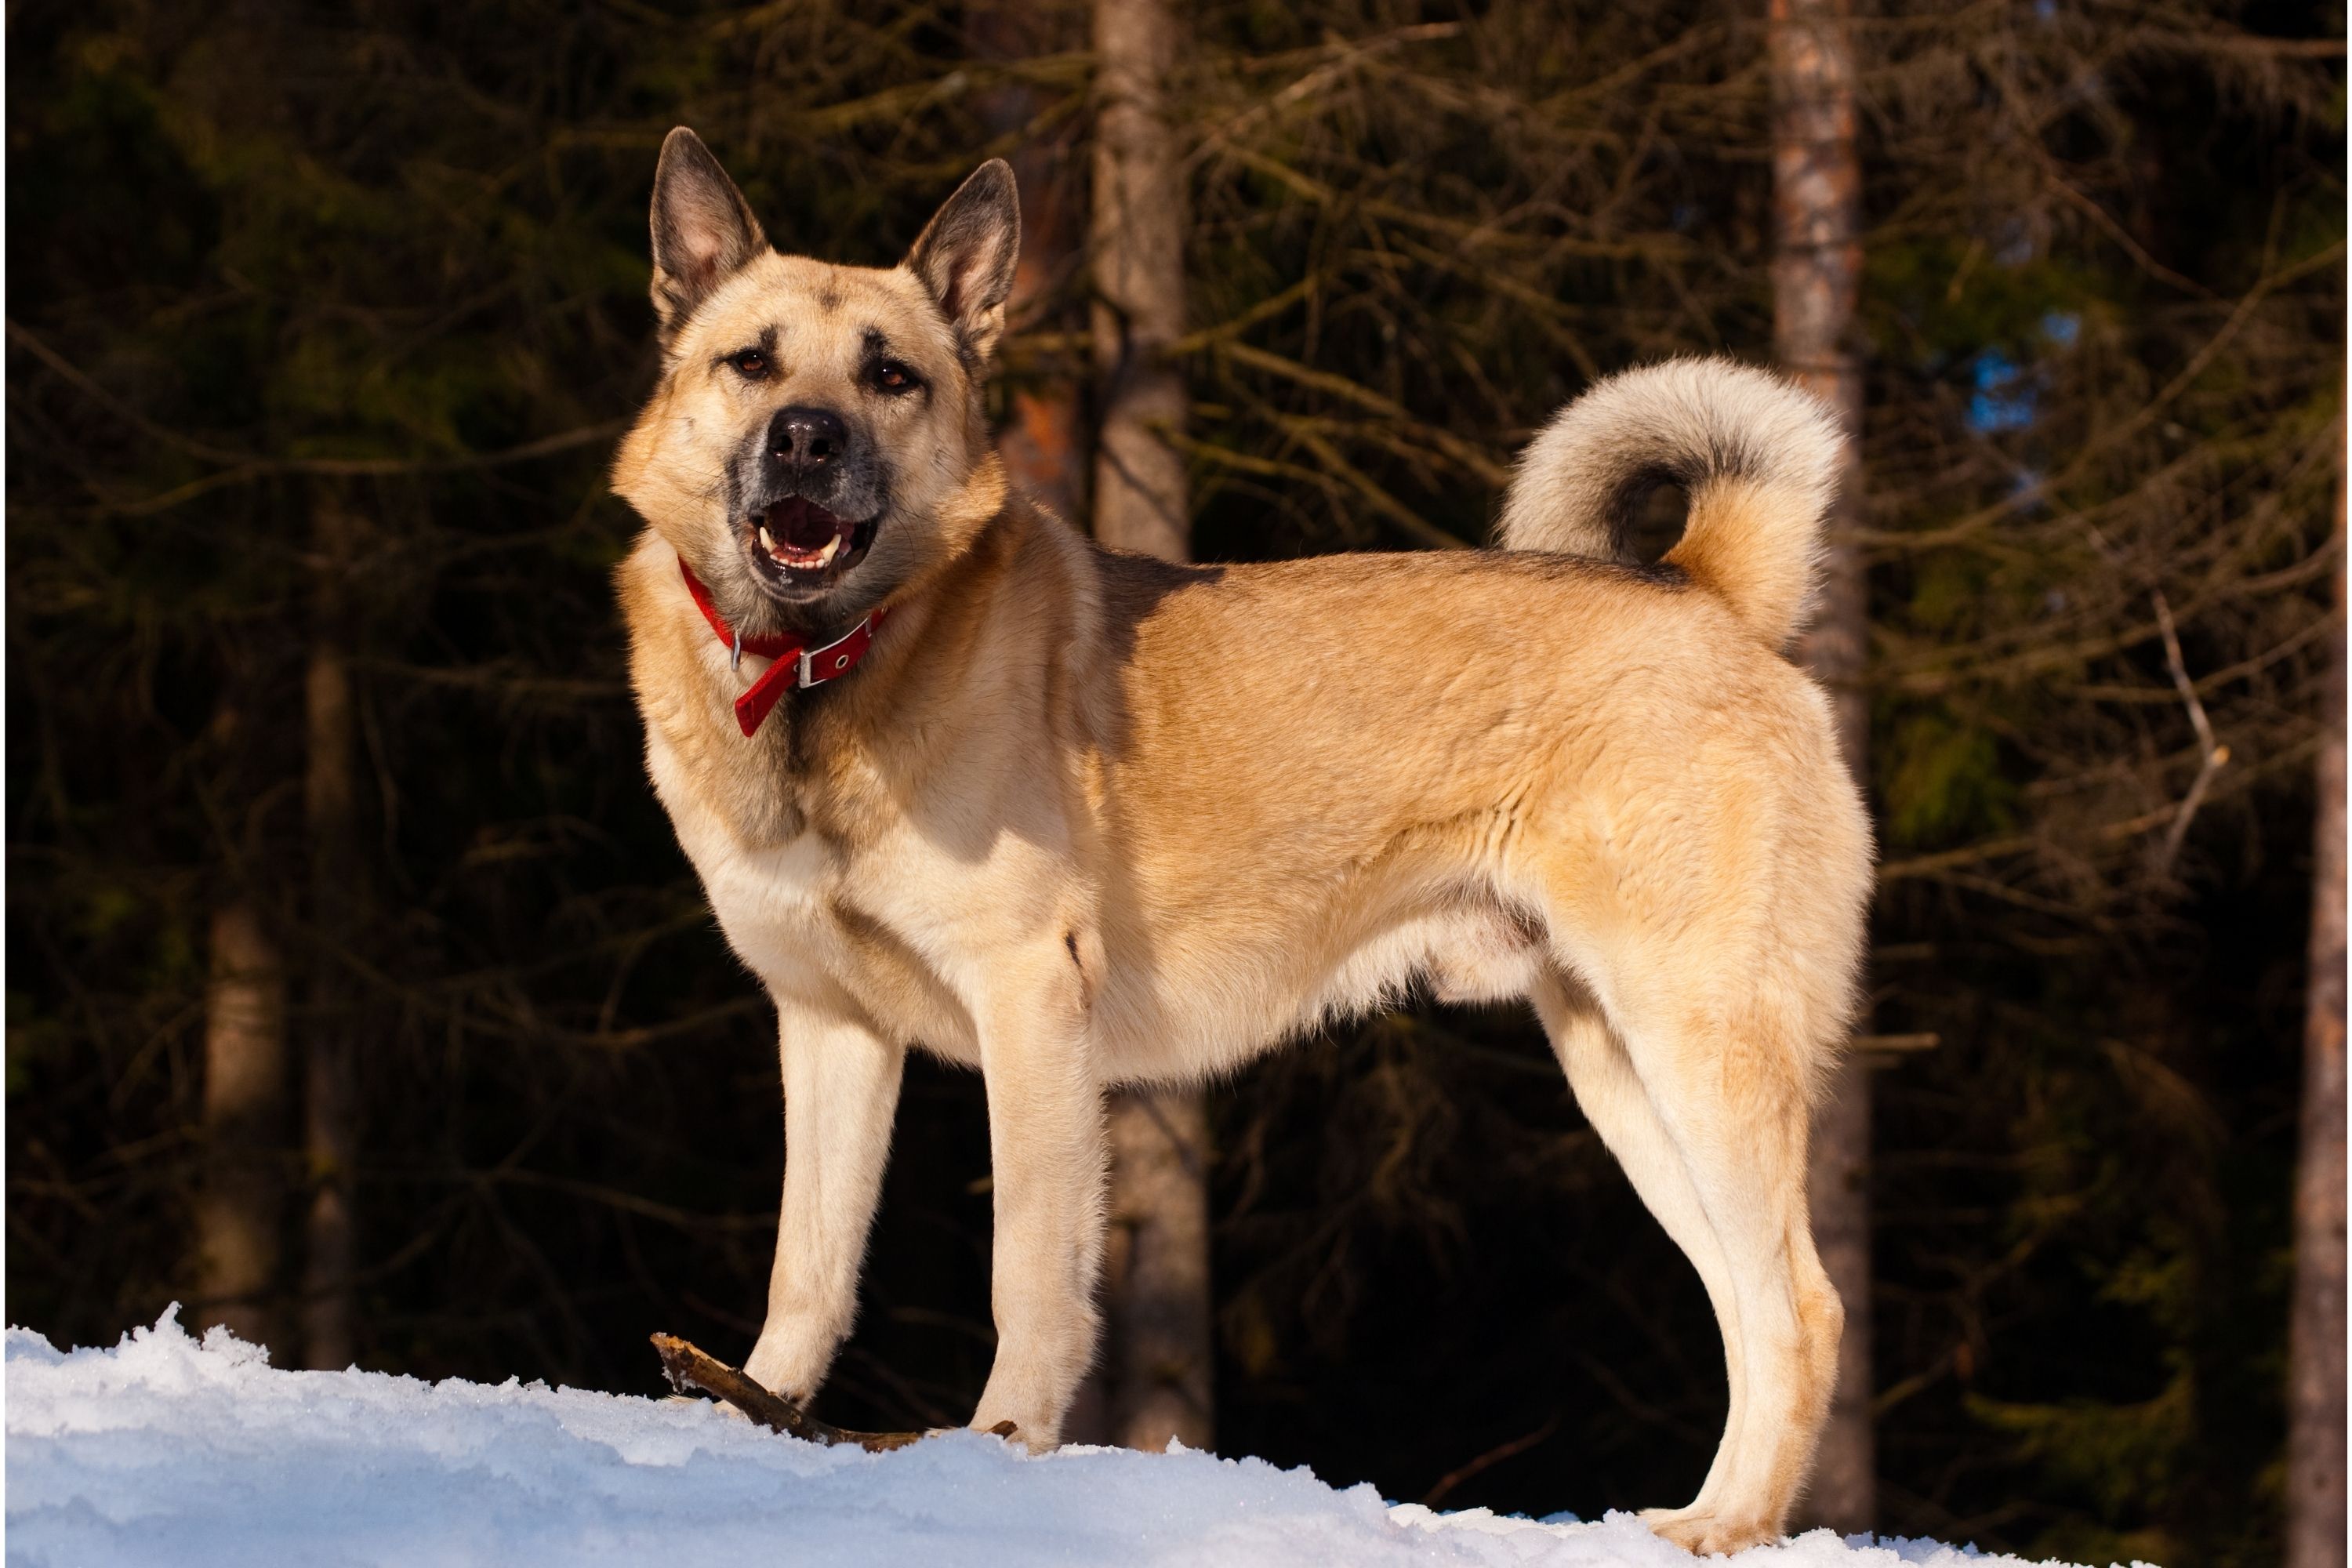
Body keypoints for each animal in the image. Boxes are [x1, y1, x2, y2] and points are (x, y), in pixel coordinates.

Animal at [612, 125, 1872, 1561]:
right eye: (751, 361)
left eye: (892, 376)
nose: (808, 440)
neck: (827, 672)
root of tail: (1710, 592)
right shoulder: (829, 1028)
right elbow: (808, 1271)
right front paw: (748, 1415)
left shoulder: (1028, 1002)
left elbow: (1029, 1274)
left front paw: (998, 1456)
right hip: (1620, 1069)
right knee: (1751, 1312)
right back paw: (1705, 1518)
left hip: (1700, 1043)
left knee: (1802, 1309)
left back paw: (1729, 1527)